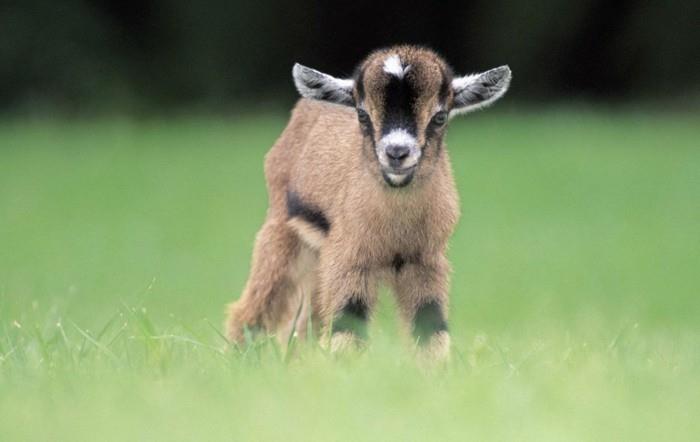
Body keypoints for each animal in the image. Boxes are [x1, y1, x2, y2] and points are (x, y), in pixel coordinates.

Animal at [227, 45, 512, 360]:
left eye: (440, 117)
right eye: (362, 115)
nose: (397, 153)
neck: (396, 229)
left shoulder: (425, 262)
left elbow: (430, 328)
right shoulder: (349, 259)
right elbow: (347, 328)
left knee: (306, 325)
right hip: (283, 234)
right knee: (252, 310)